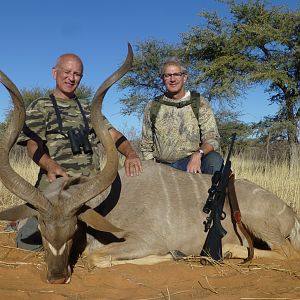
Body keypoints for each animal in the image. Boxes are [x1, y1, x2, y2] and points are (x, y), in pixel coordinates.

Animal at [0, 44, 300, 284]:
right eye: (41, 228)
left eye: (74, 228)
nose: (57, 278)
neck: (105, 206)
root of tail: (290, 213)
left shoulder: (145, 240)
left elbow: (94, 257)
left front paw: (173, 255)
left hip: (257, 222)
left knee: (286, 252)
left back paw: (227, 251)